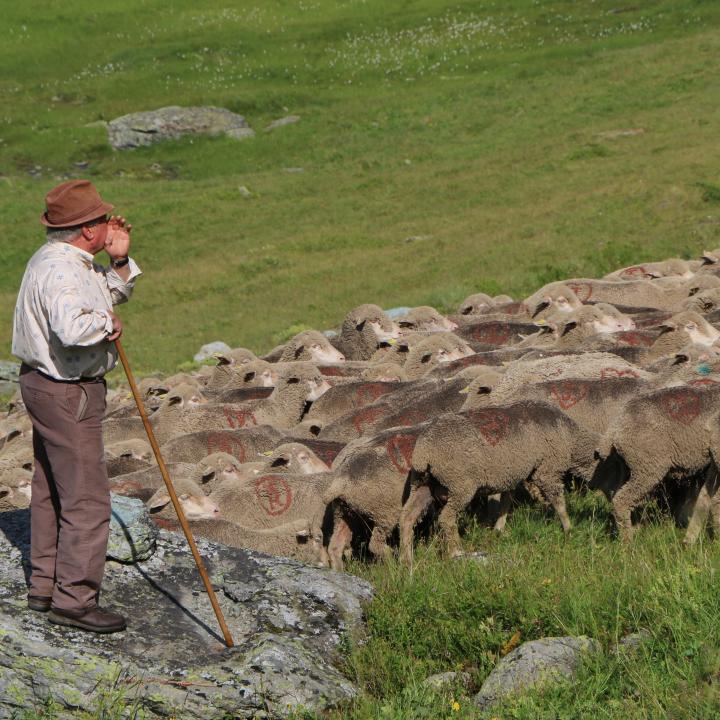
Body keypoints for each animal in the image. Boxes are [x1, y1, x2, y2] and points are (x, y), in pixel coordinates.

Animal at [399, 402, 597, 560]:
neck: (571, 439)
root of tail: (424, 451)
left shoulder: (512, 474)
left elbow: (506, 501)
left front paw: (499, 529)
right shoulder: (547, 470)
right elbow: (559, 502)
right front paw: (568, 529)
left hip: (423, 484)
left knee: (407, 517)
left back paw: (406, 560)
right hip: (460, 484)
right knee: (446, 518)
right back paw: (456, 551)